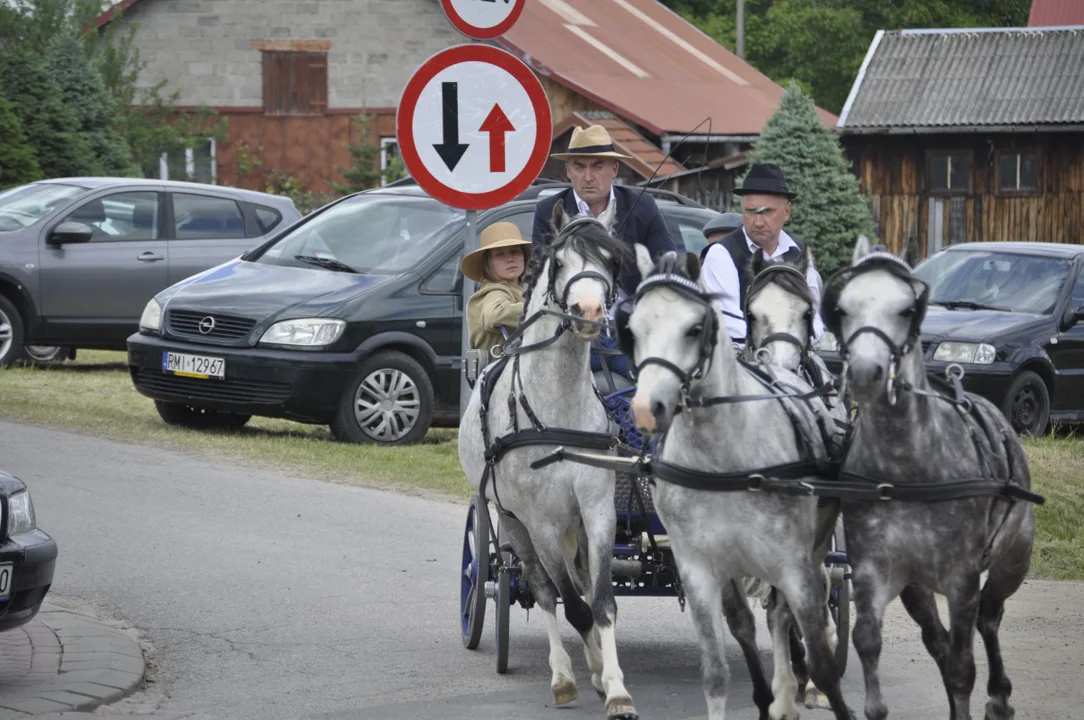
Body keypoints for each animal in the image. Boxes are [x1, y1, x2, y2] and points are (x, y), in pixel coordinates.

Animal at [455, 203, 637, 720]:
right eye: (558, 262)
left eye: (612, 261)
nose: (589, 312)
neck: (557, 407)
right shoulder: (542, 522)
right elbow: (570, 605)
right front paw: (588, 675)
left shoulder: (597, 511)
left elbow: (601, 602)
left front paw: (616, 687)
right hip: (513, 521)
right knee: (542, 588)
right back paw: (563, 676)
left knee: (576, 586)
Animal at [624, 247, 849, 720]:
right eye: (632, 329)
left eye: (695, 328)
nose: (647, 408)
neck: (720, 458)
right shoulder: (702, 567)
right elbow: (723, 658)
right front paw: (767, 696)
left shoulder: (791, 561)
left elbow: (820, 657)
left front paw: (808, 682)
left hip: (812, 548)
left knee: (791, 610)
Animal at [819, 240, 1040, 720]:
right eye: (842, 309)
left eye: (906, 309)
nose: (865, 373)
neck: (907, 468)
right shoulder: (875, 568)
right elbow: (869, 641)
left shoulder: (961, 578)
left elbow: (962, 666)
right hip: (916, 587)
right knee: (937, 640)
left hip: (1014, 556)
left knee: (989, 617)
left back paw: (1000, 695)